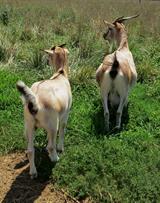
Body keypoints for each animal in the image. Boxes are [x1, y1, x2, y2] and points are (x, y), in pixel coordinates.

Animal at [16, 44, 72, 178]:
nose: (46, 62)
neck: (60, 74)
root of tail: (35, 100)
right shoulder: (65, 115)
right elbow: (62, 130)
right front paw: (60, 148)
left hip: (29, 125)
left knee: (30, 150)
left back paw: (33, 172)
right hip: (53, 124)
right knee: (51, 146)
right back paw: (55, 158)